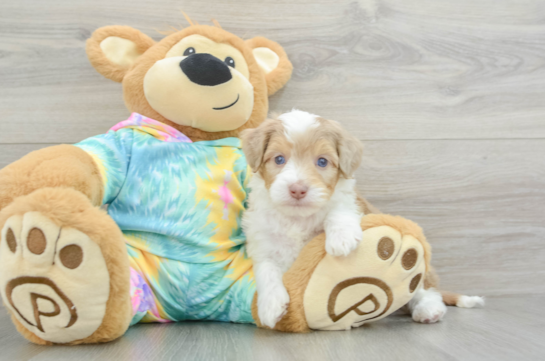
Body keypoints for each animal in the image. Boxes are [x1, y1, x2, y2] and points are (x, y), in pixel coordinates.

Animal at [240, 109, 364, 326]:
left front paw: (342, 237)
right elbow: (266, 269)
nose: (297, 189)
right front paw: (271, 305)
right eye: (279, 159)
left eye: (322, 161)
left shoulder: (349, 203)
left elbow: (339, 207)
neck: (296, 219)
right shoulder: (262, 242)